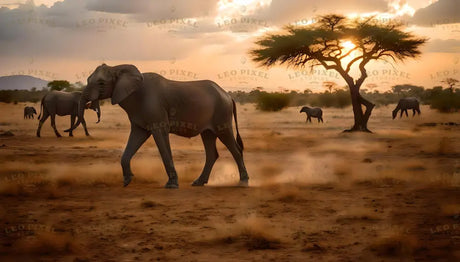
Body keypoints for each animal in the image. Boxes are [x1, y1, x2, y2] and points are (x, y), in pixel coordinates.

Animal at [64, 63, 248, 188]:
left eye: (101, 83)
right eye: (88, 80)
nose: (94, 110)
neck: (119, 68)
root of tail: (228, 95)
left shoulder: (156, 112)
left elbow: (161, 139)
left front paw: (171, 185)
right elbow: (136, 137)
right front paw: (127, 181)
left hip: (222, 114)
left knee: (232, 145)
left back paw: (243, 182)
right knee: (210, 145)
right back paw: (198, 182)